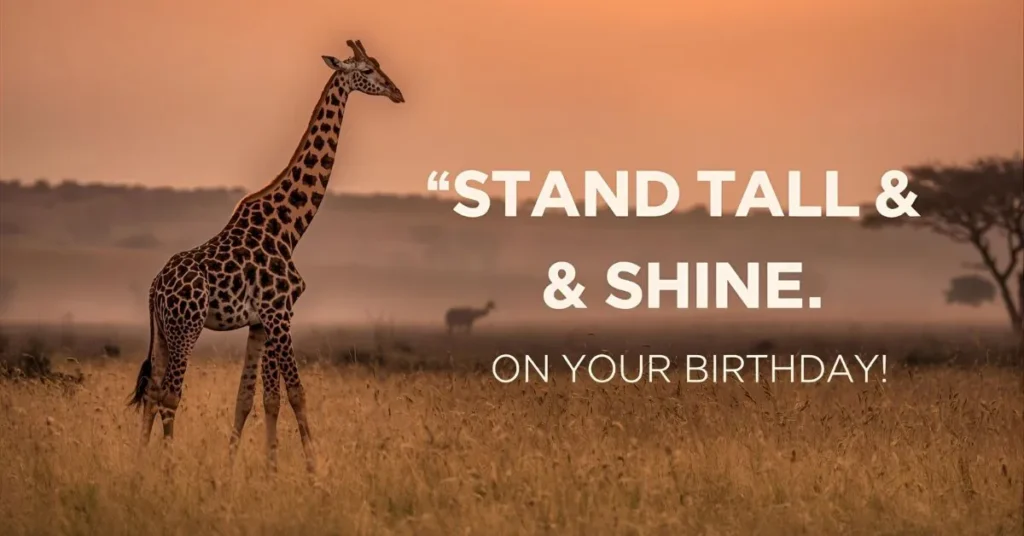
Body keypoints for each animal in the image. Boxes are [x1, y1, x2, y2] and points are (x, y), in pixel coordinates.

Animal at [127, 40, 404, 473]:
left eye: (379, 65)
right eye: (366, 70)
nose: (397, 92)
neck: (289, 226)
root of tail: (155, 288)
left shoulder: (260, 322)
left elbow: (255, 398)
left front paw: (252, 469)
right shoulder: (281, 313)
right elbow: (296, 393)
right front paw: (312, 469)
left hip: (162, 330)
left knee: (153, 392)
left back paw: (140, 467)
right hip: (186, 326)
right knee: (171, 395)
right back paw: (169, 470)